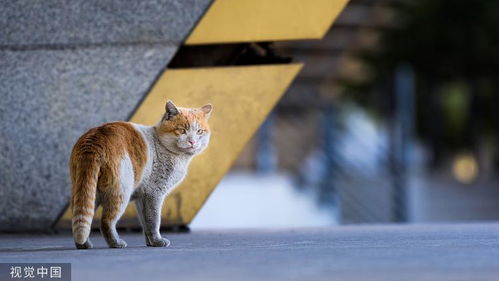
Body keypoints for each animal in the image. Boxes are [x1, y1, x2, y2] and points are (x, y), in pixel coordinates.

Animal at [70, 99, 211, 248]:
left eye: (199, 131)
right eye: (181, 130)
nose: (192, 141)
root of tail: (95, 140)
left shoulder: (141, 197)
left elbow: (145, 223)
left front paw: (150, 242)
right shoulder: (154, 193)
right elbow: (154, 221)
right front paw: (158, 241)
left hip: (87, 191)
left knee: (80, 218)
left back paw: (83, 245)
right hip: (120, 193)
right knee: (106, 222)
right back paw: (116, 243)